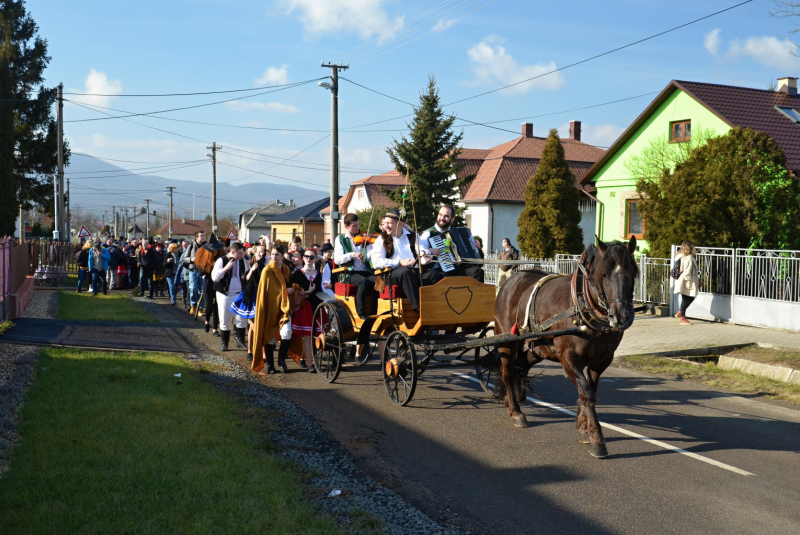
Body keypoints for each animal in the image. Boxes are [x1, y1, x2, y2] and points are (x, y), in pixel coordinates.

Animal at [494, 239, 636, 460]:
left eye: (631, 274)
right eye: (604, 275)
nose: (619, 316)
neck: (584, 308)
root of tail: (512, 279)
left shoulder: (602, 360)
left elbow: (589, 392)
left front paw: (583, 426)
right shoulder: (568, 358)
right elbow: (587, 393)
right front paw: (597, 438)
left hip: (540, 347)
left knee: (521, 365)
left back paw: (516, 396)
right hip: (507, 339)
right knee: (507, 372)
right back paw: (516, 412)